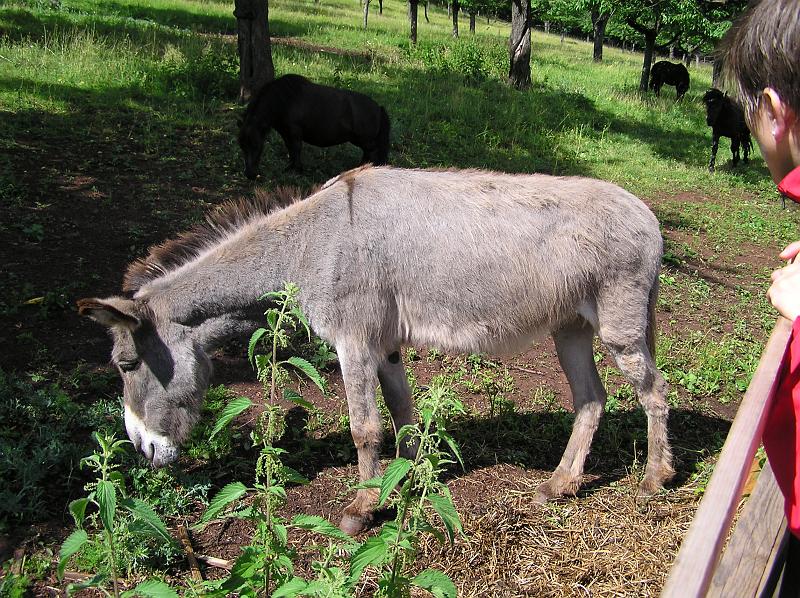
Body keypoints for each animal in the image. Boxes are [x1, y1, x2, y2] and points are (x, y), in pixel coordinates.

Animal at [76, 166, 676, 536]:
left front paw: (361, 509)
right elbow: (403, 413)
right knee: (592, 399)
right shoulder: (384, 347)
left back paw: (654, 480)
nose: (141, 450)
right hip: (570, 327)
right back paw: (560, 485)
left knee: (654, 392)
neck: (309, 243)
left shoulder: (355, 342)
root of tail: (648, 213)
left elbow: (364, 427)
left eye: (126, 365)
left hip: (619, 326)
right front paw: (406, 478)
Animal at [236, 74, 390, 179]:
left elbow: (296, 149)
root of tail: (378, 108)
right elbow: (291, 150)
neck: (284, 100)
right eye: (242, 146)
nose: (249, 174)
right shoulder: (286, 133)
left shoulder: (294, 132)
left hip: (364, 140)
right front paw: (291, 168)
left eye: (256, 145)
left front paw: (297, 170)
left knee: (372, 152)